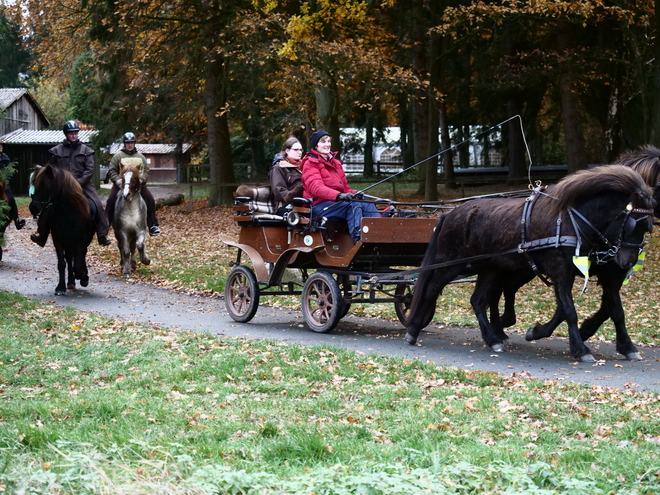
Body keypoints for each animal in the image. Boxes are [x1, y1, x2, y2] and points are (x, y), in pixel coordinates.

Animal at [29, 164, 94, 294]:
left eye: (45, 185)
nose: (33, 208)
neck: (67, 213)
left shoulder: (81, 240)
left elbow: (78, 264)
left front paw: (83, 277)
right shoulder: (58, 238)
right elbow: (62, 263)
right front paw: (60, 287)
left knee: (79, 257)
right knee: (69, 258)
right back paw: (71, 282)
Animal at [408, 165, 656, 362]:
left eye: (648, 227)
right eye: (633, 224)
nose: (628, 262)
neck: (573, 221)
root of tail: (450, 214)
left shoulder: (606, 274)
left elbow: (615, 309)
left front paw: (627, 347)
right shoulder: (561, 272)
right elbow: (569, 310)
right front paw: (580, 349)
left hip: (490, 268)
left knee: (478, 300)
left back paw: (493, 339)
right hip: (452, 263)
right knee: (432, 287)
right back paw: (413, 328)